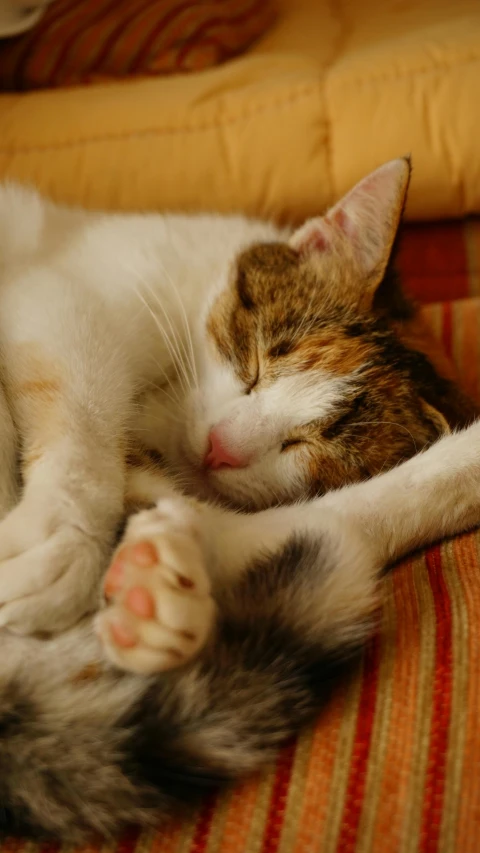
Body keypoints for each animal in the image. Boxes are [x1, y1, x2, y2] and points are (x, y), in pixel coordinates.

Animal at [0, 156, 476, 836]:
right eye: (255, 361)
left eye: (310, 446)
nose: (221, 448)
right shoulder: (72, 285)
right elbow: (78, 381)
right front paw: (62, 533)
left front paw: (159, 587)